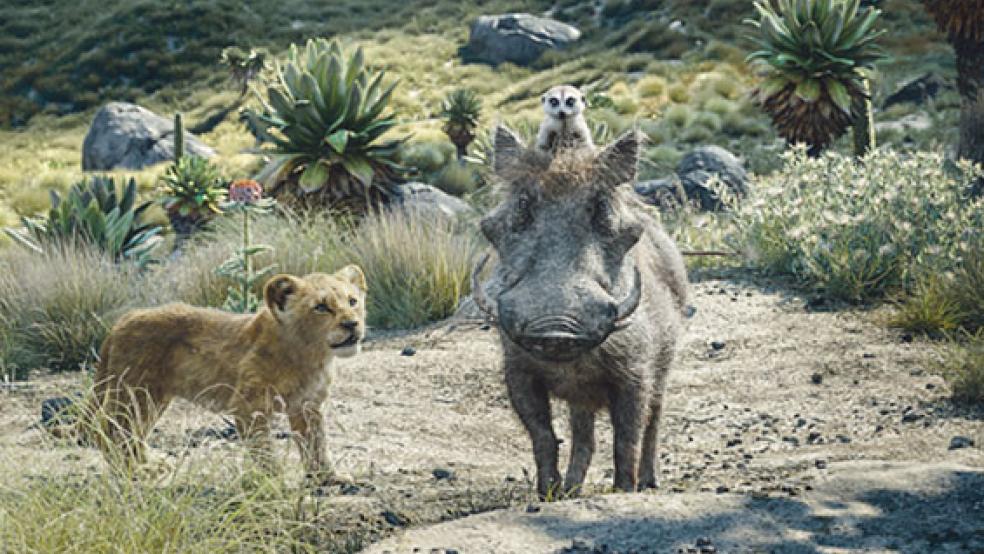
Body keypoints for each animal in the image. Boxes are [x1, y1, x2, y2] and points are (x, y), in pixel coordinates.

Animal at [82, 266, 367, 481]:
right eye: (321, 307)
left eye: (352, 301)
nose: (352, 324)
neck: (311, 356)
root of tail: (121, 321)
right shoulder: (248, 406)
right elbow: (262, 448)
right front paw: (273, 482)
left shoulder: (307, 406)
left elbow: (316, 443)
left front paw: (327, 477)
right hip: (136, 393)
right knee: (111, 430)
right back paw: (137, 471)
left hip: (153, 398)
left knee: (133, 433)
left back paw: (149, 464)